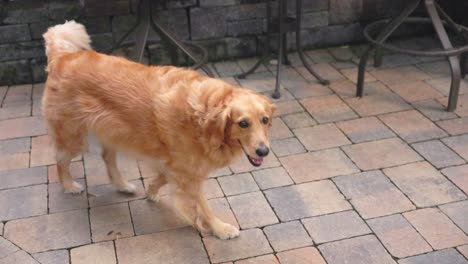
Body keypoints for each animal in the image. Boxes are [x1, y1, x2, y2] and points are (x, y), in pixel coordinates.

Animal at [43, 21, 274, 239]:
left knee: (107, 158)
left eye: (264, 120)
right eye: (243, 123)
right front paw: (220, 229)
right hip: (73, 135)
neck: (204, 113)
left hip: (113, 132)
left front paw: (151, 191)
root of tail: (62, 56)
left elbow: (162, 177)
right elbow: (202, 206)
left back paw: (122, 185)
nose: (263, 152)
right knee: (61, 160)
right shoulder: (188, 174)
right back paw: (69, 186)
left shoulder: (177, 165)